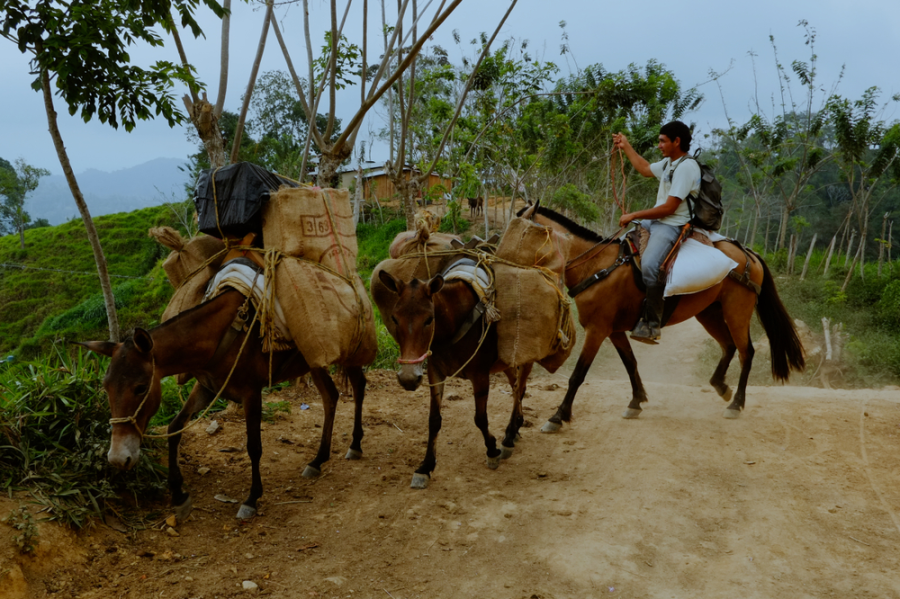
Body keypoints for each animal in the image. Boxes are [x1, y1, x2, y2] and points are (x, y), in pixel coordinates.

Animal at [79, 290, 368, 520]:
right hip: (314, 362)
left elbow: (254, 446)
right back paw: (318, 460)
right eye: (105, 387)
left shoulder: (251, 392)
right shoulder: (207, 388)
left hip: (349, 353)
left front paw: (251, 499)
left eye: (140, 388)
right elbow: (175, 428)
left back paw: (355, 445)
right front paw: (178, 493)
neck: (215, 336)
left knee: (359, 386)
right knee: (330, 396)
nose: (118, 459)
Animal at [374, 270, 532, 490]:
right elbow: (434, 420)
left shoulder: (480, 375)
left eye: (429, 319)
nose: (408, 378)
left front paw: (492, 451)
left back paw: (509, 436)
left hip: (525, 356)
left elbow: (480, 418)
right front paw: (425, 467)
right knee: (517, 386)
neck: (452, 325)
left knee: (519, 388)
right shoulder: (435, 373)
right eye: (394, 318)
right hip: (505, 363)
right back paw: (514, 429)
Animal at [520, 206, 808, 426]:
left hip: (737, 312)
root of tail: (749, 254)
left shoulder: (597, 330)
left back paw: (736, 404)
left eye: (520, 229)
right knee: (728, 346)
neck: (598, 266)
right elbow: (631, 363)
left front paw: (558, 416)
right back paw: (720, 385)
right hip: (709, 313)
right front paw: (636, 401)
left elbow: (578, 374)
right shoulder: (614, 330)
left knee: (746, 352)